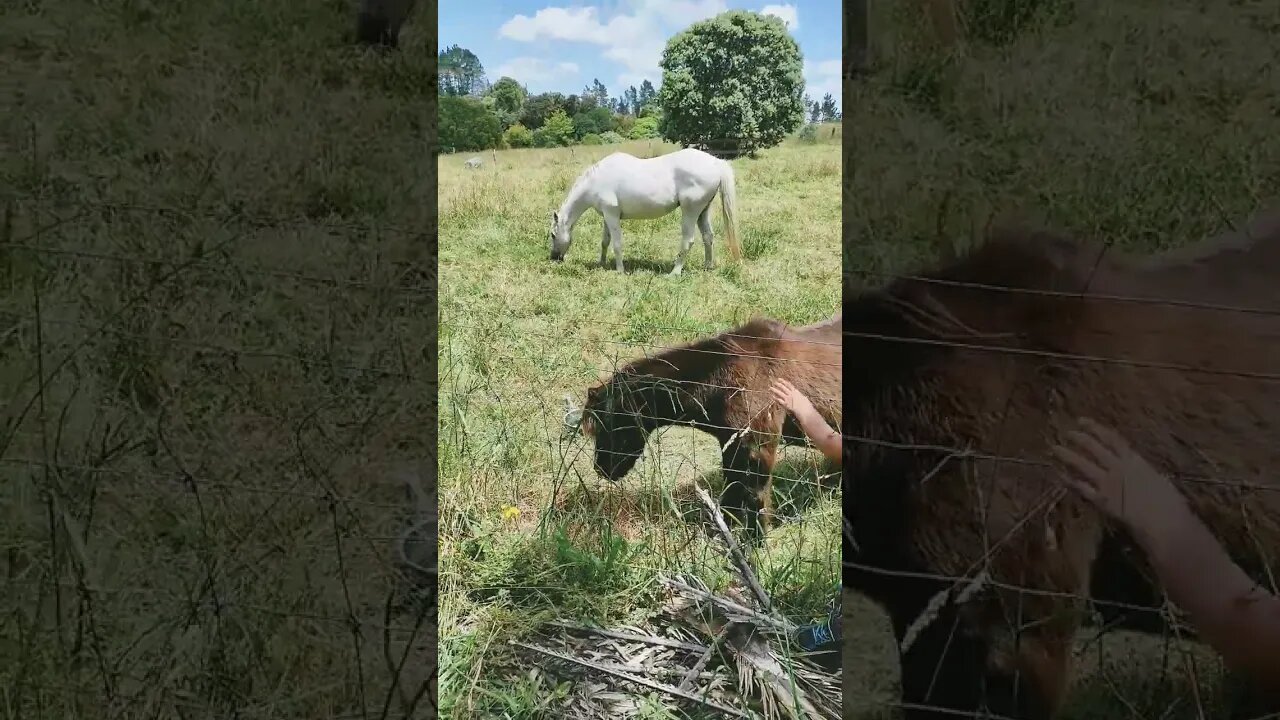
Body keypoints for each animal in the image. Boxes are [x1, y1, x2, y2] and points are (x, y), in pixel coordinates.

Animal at [548, 148, 742, 276]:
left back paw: (674, 273)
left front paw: (620, 271)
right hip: (703, 211)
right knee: (708, 237)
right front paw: (601, 263)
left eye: (552, 235)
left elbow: (617, 244)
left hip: (690, 211)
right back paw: (707, 267)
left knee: (688, 241)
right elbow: (605, 242)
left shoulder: (612, 215)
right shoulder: (607, 216)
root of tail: (717, 162)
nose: (554, 257)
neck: (597, 180)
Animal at [565, 313, 841, 539]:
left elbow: (755, 498)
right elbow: (731, 492)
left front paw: (756, 543)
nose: (602, 469)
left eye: (612, 423)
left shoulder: (757, 448)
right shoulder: (731, 445)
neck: (722, 379)